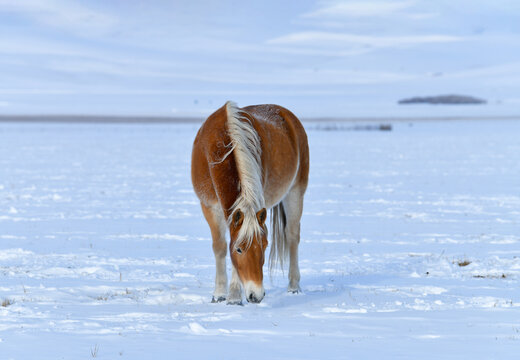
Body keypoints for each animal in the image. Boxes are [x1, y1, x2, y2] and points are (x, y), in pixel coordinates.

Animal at [194, 101, 308, 304]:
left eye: (265, 246)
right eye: (239, 250)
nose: (256, 295)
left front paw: (233, 296)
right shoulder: (209, 206)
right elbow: (220, 247)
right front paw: (219, 293)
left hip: (295, 193)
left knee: (292, 237)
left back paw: (294, 287)